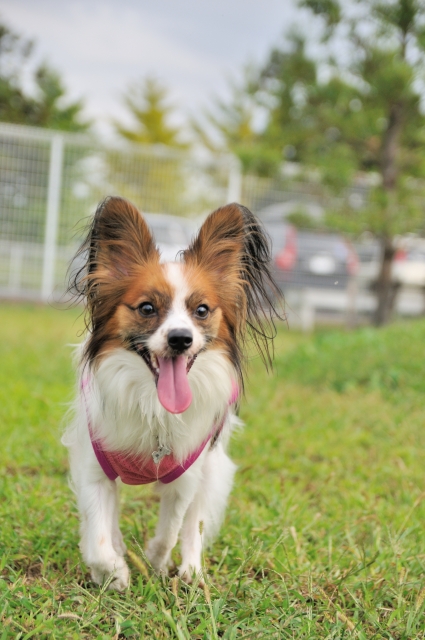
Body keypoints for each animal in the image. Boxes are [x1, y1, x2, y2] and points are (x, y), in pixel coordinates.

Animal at [63, 196, 281, 590]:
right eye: (147, 308)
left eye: (202, 311)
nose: (181, 339)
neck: (153, 405)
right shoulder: (94, 467)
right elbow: (98, 536)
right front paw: (113, 571)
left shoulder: (186, 475)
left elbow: (171, 531)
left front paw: (154, 560)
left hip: (210, 471)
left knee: (193, 527)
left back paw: (192, 571)